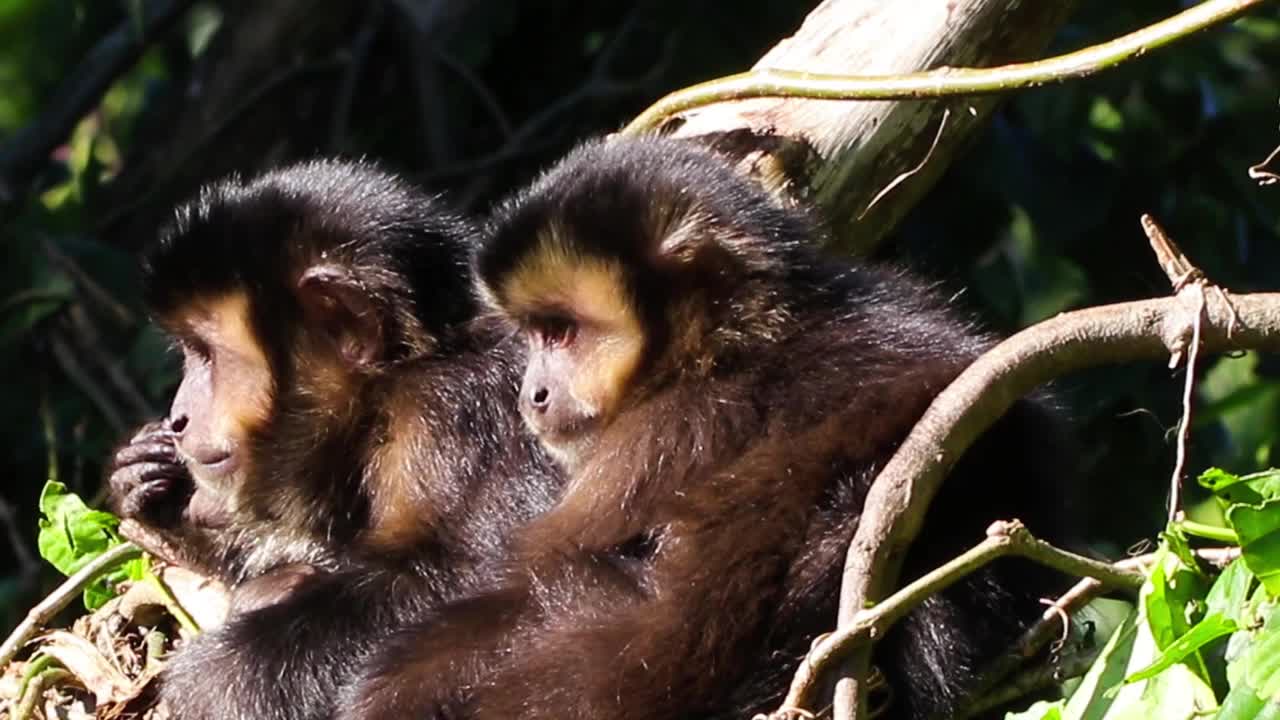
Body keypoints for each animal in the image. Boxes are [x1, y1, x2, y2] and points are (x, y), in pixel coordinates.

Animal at [111, 161, 565, 717]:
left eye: (206, 355)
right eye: (188, 352)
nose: (179, 417)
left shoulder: (448, 415)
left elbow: (504, 577)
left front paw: (220, 678)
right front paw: (154, 492)